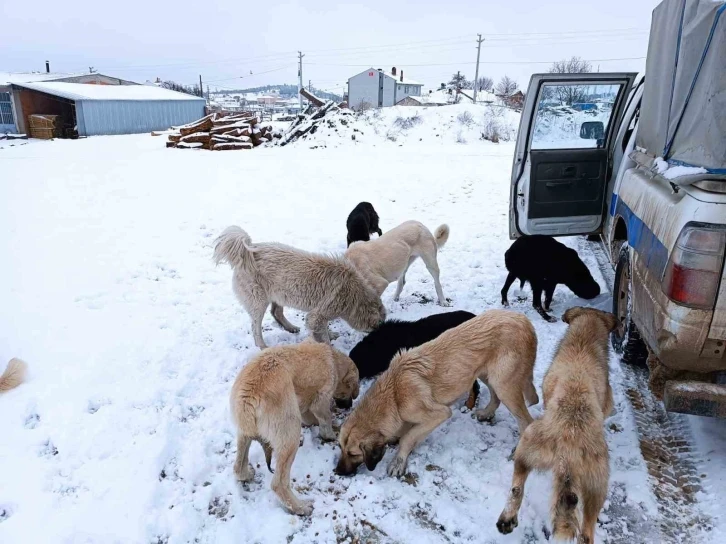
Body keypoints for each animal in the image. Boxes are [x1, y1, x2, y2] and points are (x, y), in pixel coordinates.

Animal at [215, 225, 390, 348]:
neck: (354, 295)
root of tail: (247, 253)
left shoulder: (319, 313)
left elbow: (323, 328)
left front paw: (331, 334)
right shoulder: (318, 314)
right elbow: (323, 337)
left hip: (280, 294)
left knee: (276, 312)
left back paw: (291, 328)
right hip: (259, 302)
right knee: (255, 327)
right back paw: (263, 346)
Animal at [232, 342, 360, 516]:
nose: (348, 406)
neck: (334, 360)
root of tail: (249, 397)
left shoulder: (306, 406)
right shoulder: (321, 399)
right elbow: (325, 420)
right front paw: (332, 432)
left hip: (244, 433)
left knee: (237, 466)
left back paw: (245, 474)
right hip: (290, 431)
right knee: (278, 483)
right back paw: (301, 507)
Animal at [500, 308, 620, 540]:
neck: (584, 340)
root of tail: (568, 452)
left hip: (532, 446)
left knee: (517, 486)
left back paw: (506, 520)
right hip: (595, 485)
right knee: (586, 531)